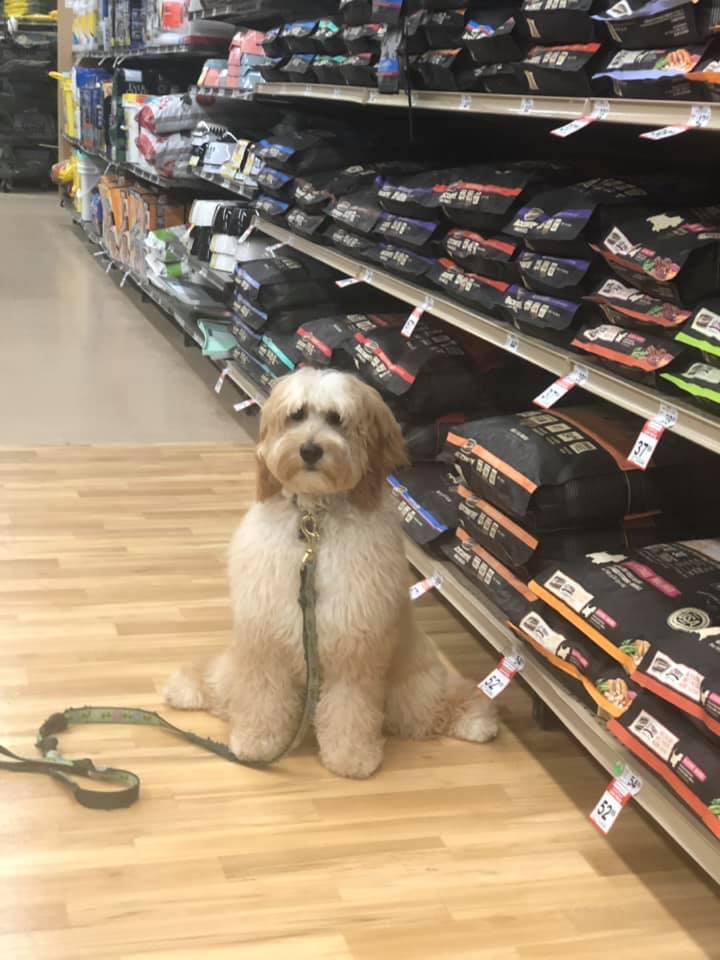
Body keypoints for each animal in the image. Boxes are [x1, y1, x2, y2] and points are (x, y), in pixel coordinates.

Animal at [165, 368, 498, 780]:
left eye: (337, 419)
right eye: (296, 415)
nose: (310, 450)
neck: (313, 524)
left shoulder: (354, 644)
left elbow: (350, 707)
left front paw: (351, 757)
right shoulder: (264, 637)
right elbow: (261, 696)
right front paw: (259, 741)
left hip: (412, 687)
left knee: (441, 703)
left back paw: (478, 719)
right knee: (223, 683)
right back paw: (187, 688)